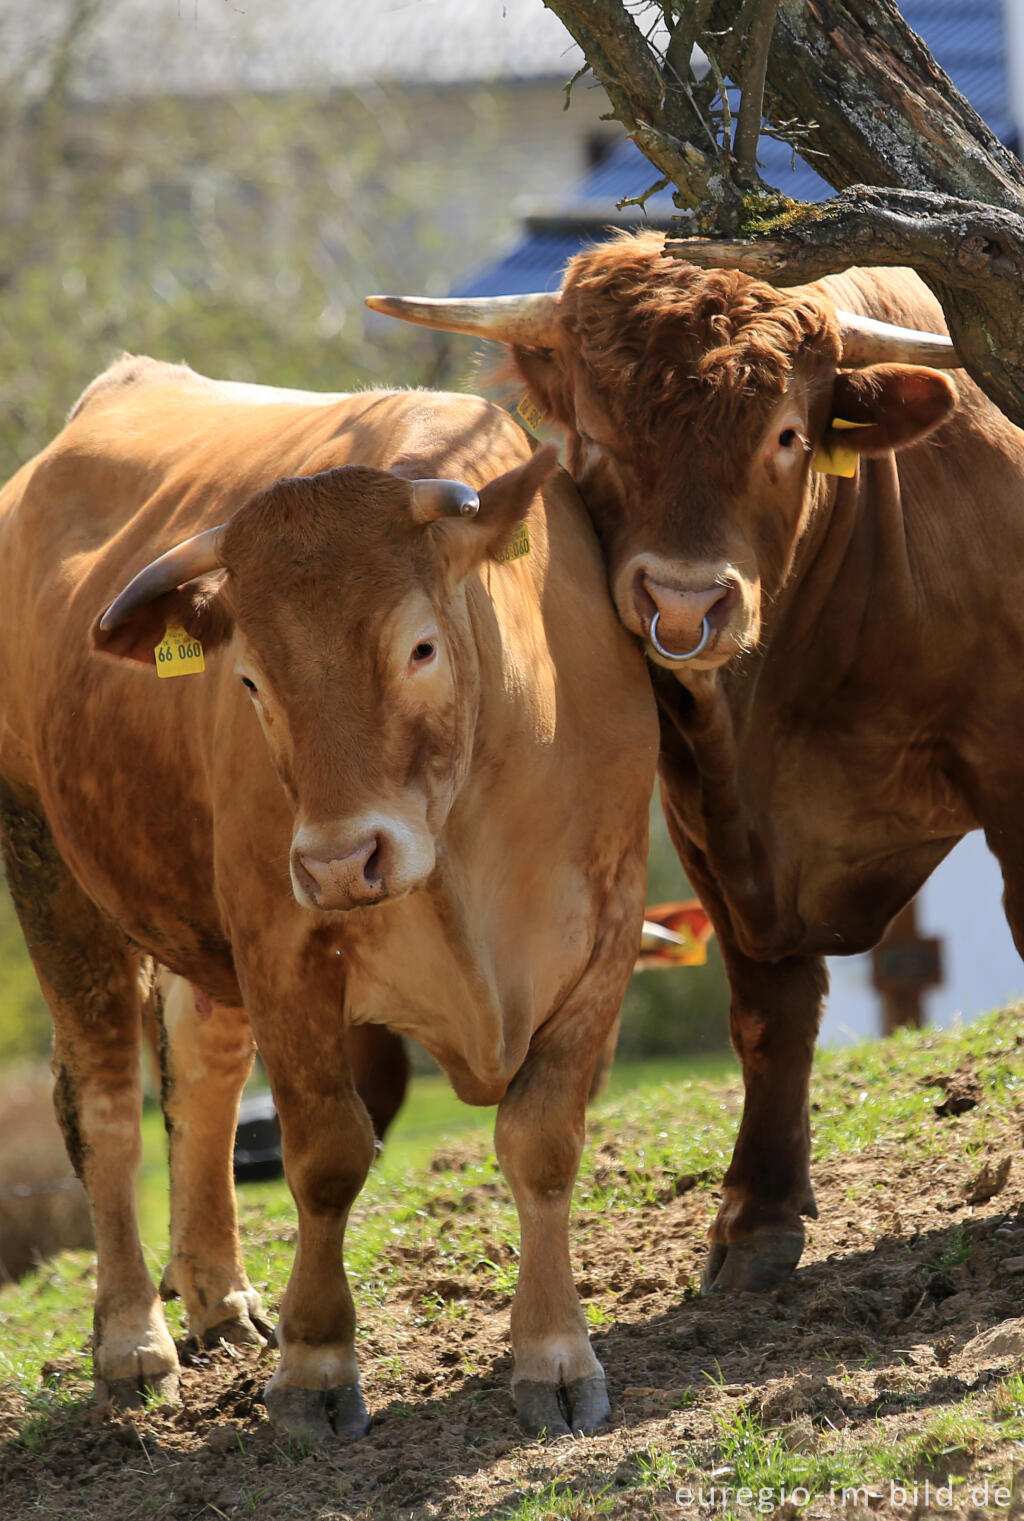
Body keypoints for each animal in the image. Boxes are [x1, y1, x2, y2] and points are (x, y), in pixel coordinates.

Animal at [0, 355, 654, 1435]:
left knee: (202, 1080)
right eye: (251, 683)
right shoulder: (282, 941)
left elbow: (543, 1139)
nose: (346, 863)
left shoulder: (606, 928)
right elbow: (325, 1152)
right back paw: (133, 1340)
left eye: (420, 648)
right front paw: (315, 1366)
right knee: (101, 1104)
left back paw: (220, 1300)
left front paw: (555, 1355)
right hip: (49, 866)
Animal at [369, 234, 1016, 1295]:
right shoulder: (703, 816)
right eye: (594, 435)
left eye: (789, 435)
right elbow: (768, 1010)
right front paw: (757, 1216)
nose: (682, 603)